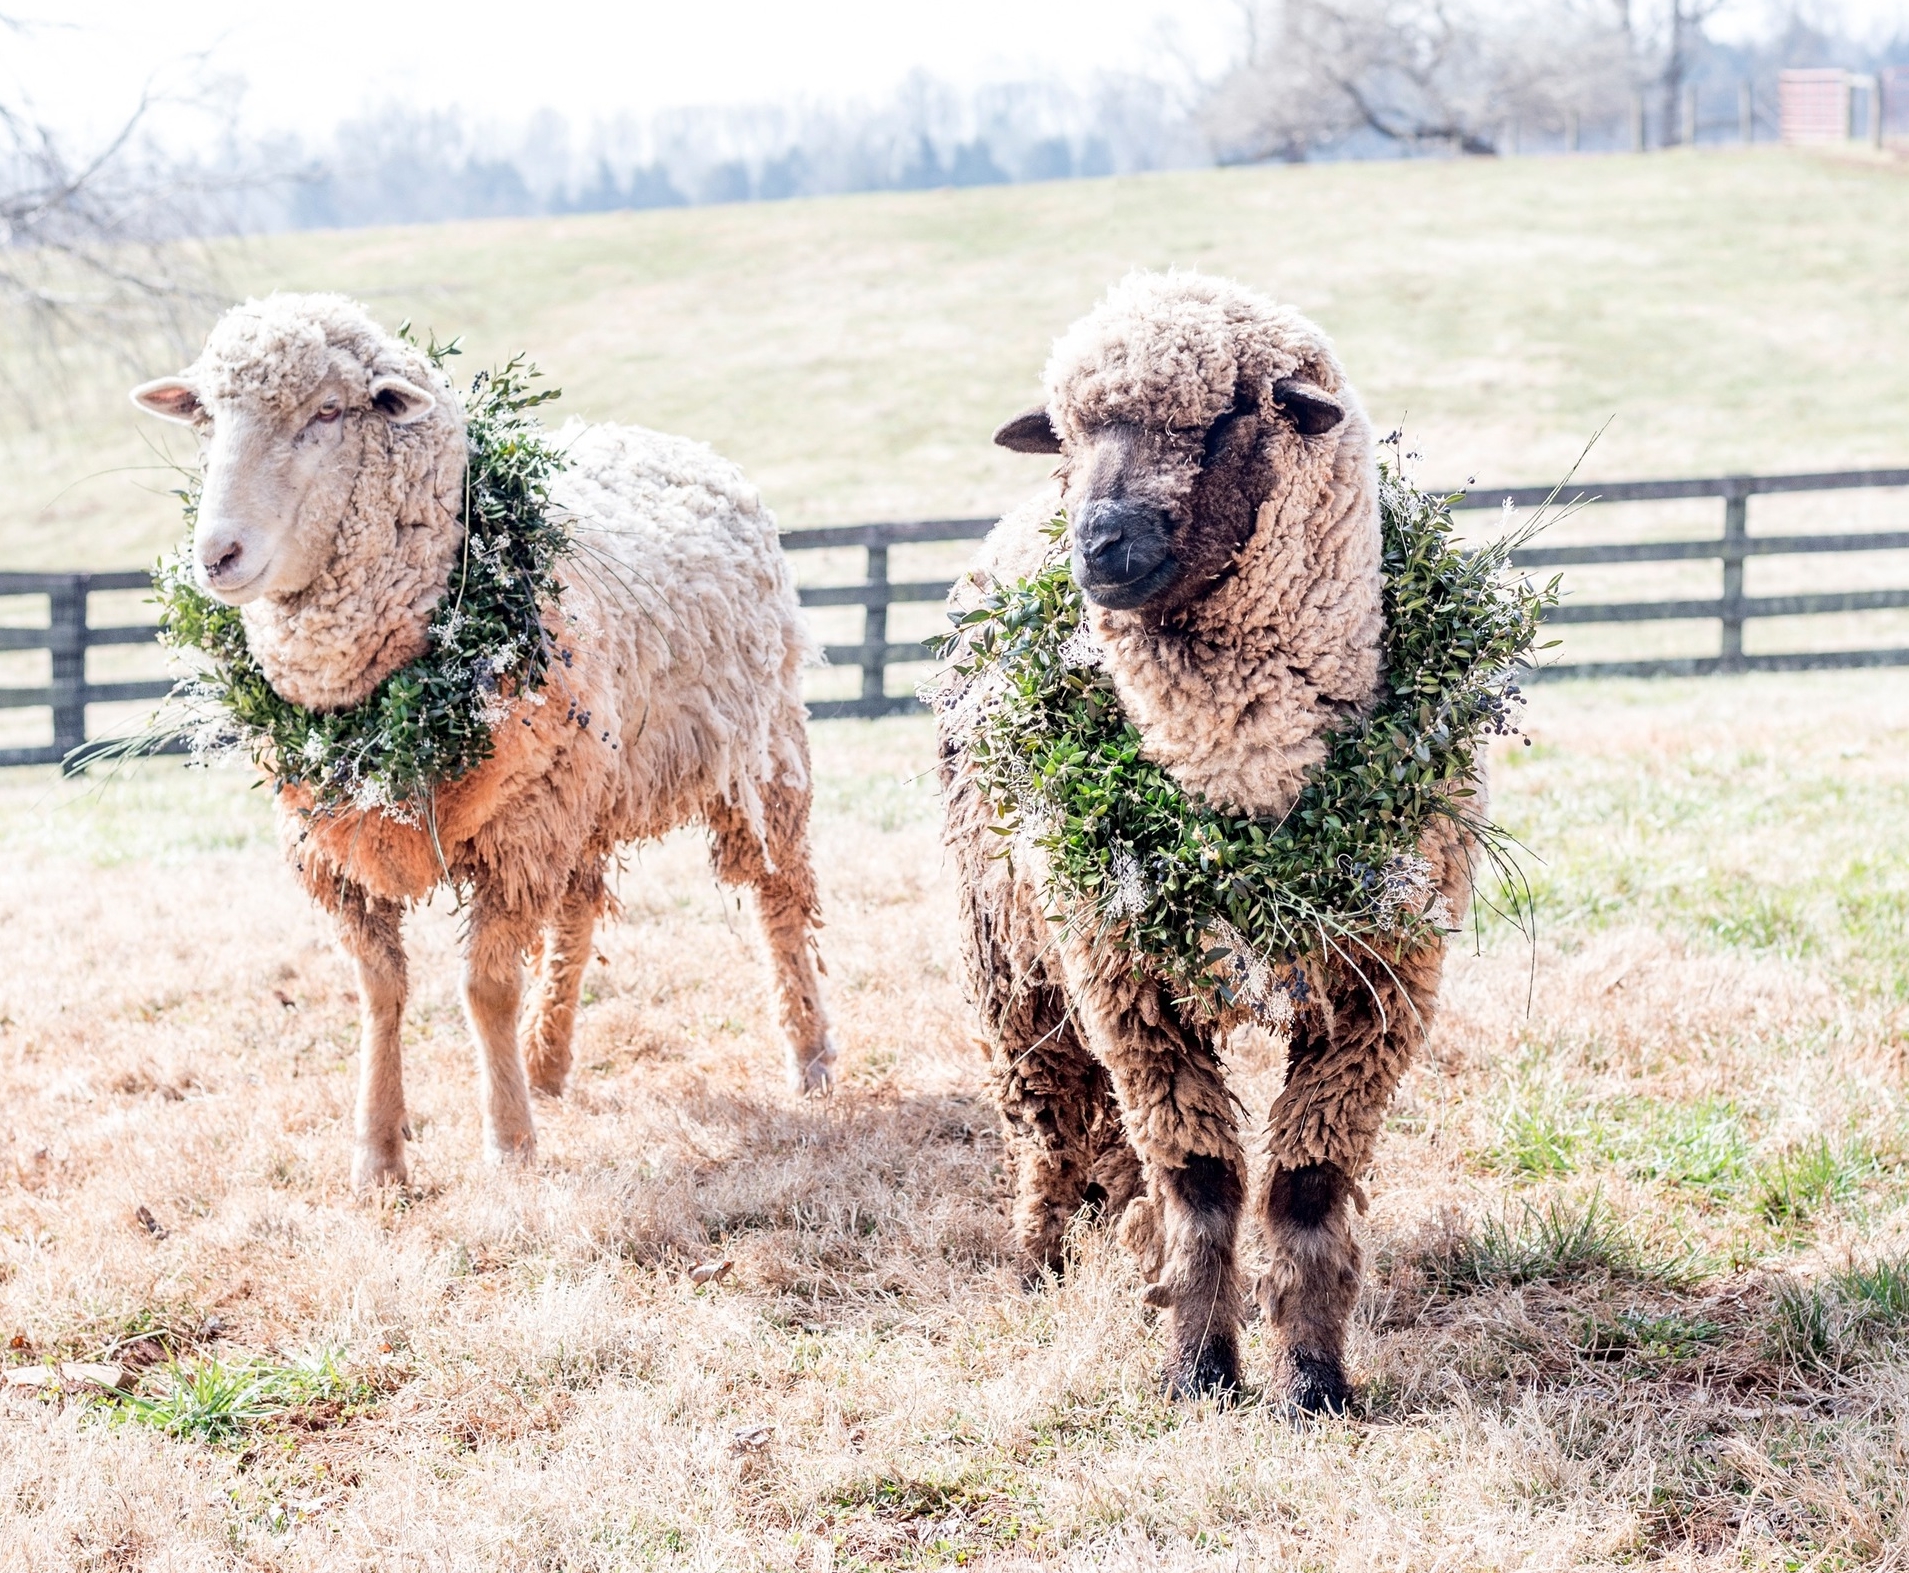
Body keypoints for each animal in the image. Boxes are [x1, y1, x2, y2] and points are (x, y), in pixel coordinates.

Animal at [138, 293, 839, 1183]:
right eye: (205, 417)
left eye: (327, 412)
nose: (217, 555)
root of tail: (683, 445)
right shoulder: (339, 849)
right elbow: (380, 991)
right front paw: (378, 1155)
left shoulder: (518, 832)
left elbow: (485, 990)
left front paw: (508, 1145)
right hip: (585, 788)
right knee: (578, 908)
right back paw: (546, 1061)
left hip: (758, 748)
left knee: (778, 893)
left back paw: (810, 1055)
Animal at [939, 271, 1473, 1412]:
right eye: (1064, 433)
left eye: (1226, 415)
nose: (1099, 545)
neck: (1246, 783)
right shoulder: (1122, 976)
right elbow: (1199, 1175)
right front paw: (1198, 1370)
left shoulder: (1381, 982)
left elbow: (1307, 1183)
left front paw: (1313, 1380)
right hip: (1008, 954)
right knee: (1046, 1119)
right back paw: (1037, 1262)